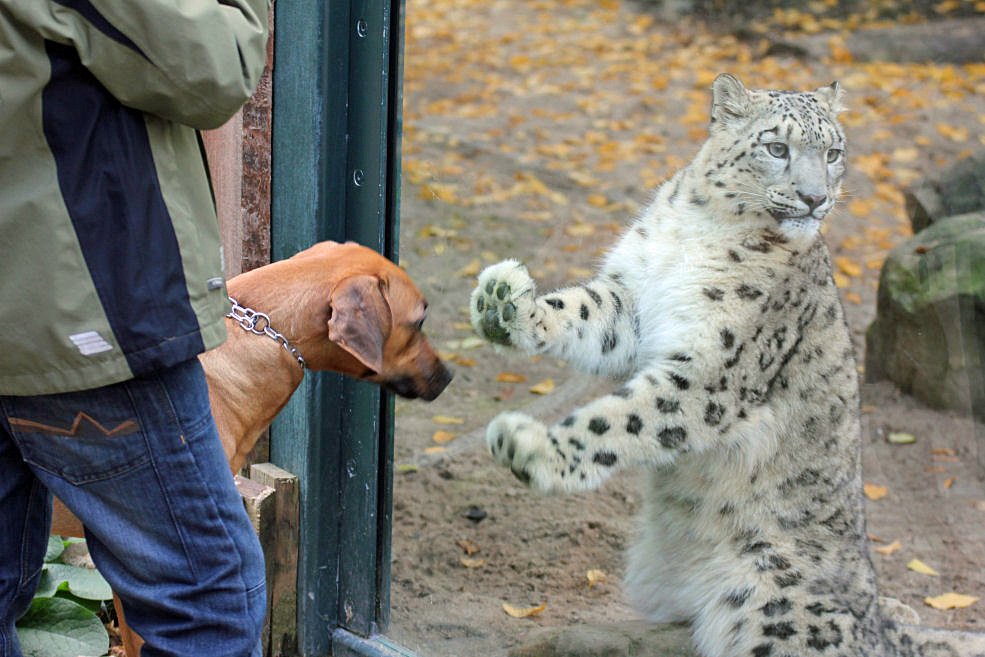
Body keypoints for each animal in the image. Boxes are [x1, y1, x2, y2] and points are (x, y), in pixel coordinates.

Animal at [468, 73, 984, 656]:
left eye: (832, 153)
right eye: (777, 148)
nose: (815, 198)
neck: (702, 227)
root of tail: (875, 616)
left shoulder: (714, 372)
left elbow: (620, 419)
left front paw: (533, 448)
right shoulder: (632, 305)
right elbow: (581, 311)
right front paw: (505, 303)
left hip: (774, 607)